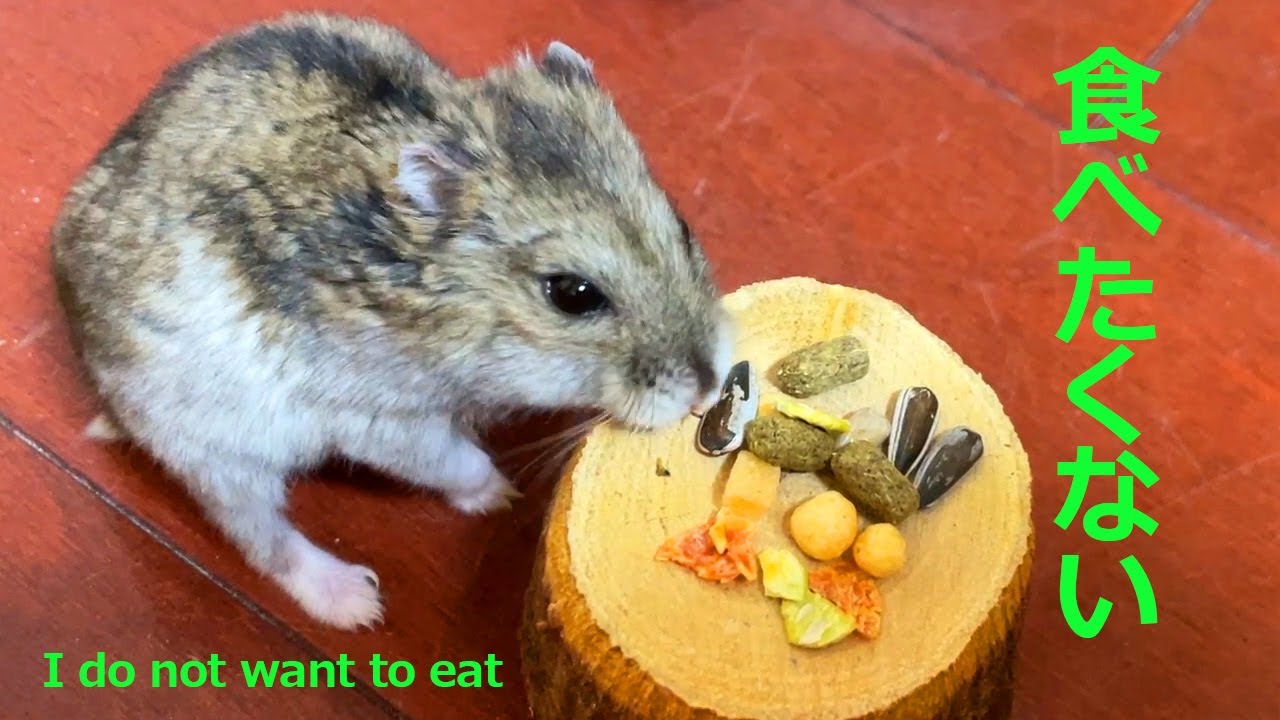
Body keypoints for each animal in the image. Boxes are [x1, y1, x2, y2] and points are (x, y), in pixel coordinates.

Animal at [50, 12, 734, 630]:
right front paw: (503, 495)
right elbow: (452, 460)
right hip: (212, 450)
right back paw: (358, 602)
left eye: (681, 226)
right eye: (571, 294)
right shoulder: (379, 421)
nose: (708, 385)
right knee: (260, 538)